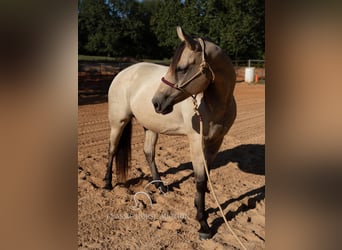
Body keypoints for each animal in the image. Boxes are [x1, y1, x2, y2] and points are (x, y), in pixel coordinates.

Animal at [104, 26, 236, 239]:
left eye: (181, 68)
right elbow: (200, 181)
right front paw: (203, 224)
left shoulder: (216, 142)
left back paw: (160, 186)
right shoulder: (196, 143)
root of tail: (123, 73)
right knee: (112, 150)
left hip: (150, 127)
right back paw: (107, 184)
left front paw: (199, 206)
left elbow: (205, 176)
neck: (215, 104)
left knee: (148, 153)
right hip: (118, 122)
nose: (156, 102)